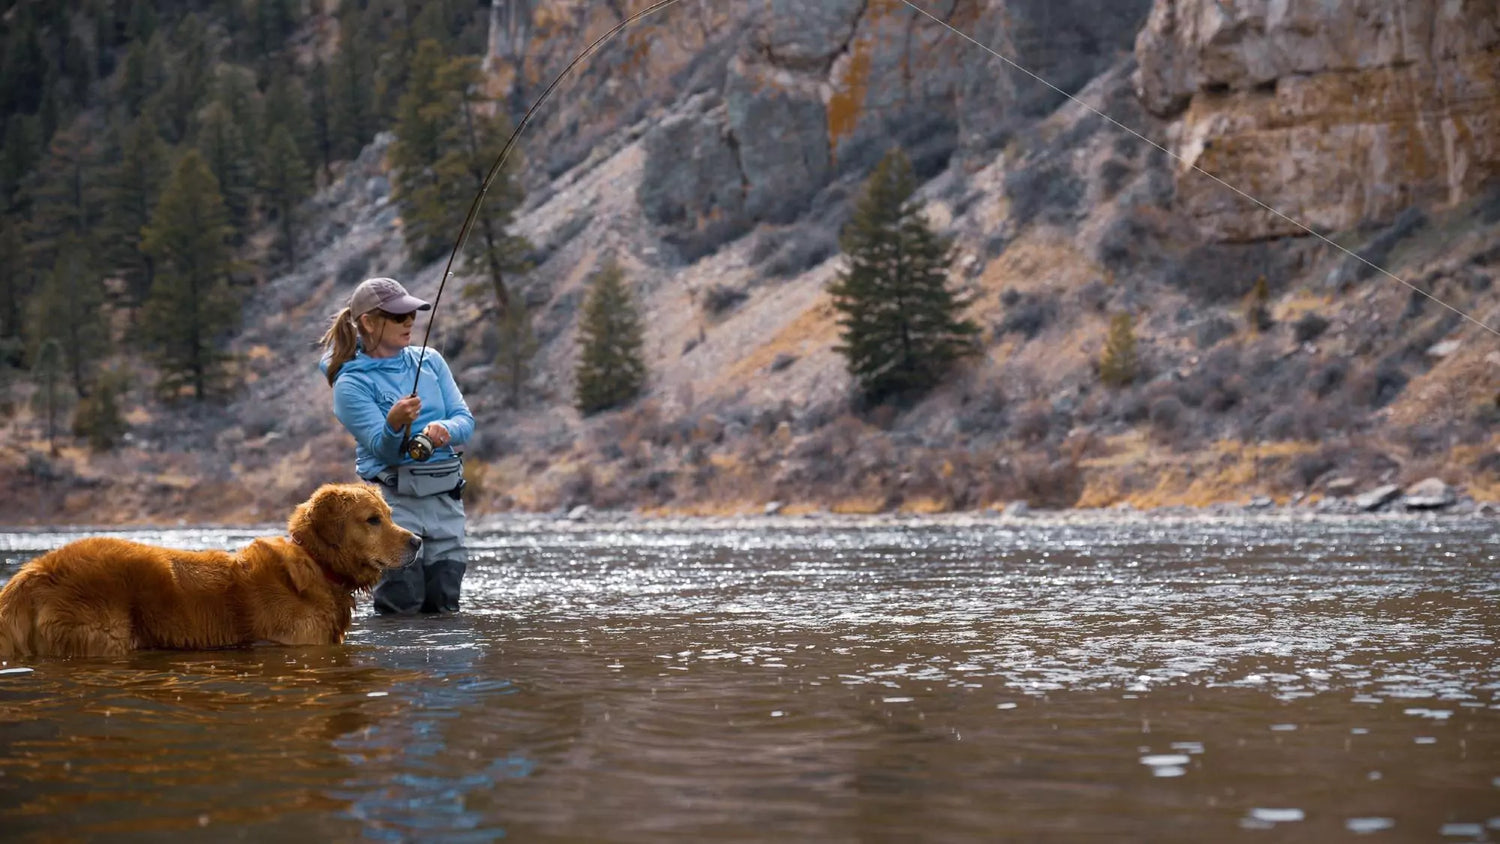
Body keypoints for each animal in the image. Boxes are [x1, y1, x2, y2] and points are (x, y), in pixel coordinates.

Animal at [0, 482, 423, 659]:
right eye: (372, 520)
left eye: (389, 515)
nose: (418, 541)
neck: (317, 565)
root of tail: (34, 572)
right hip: (102, 637)